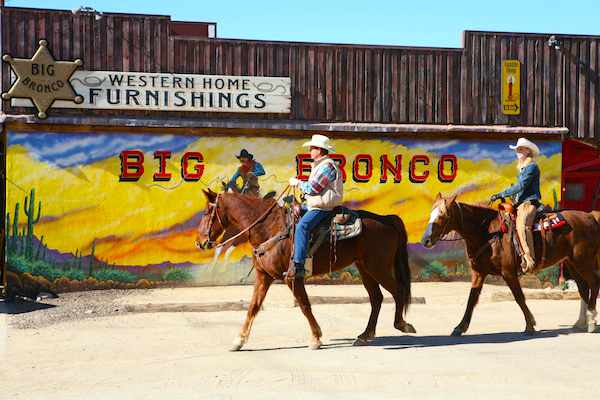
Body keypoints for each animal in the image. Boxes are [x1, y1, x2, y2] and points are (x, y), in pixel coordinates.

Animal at [195, 190, 414, 350]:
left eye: (206, 212)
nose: (200, 242)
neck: (269, 228)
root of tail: (386, 219)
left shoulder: (292, 278)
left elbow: (304, 305)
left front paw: (316, 338)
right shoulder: (263, 276)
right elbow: (253, 307)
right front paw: (239, 340)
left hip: (378, 267)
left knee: (398, 291)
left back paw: (402, 325)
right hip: (365, 269)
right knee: (376, 298)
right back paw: (364, 335)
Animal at [422, 193, 600, 334]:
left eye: (442, 216)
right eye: (430, 214)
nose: (425, 241)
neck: (486, 232)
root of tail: (591, 216)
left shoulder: (508, 272)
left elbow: (519, 297)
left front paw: (530, 325)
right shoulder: (478, 273)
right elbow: (472, 299)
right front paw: (459, 327)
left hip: (583, 262)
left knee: (593, 283)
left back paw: (591, 321)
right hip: (572, 263)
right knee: (583, 288)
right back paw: (580, 323)